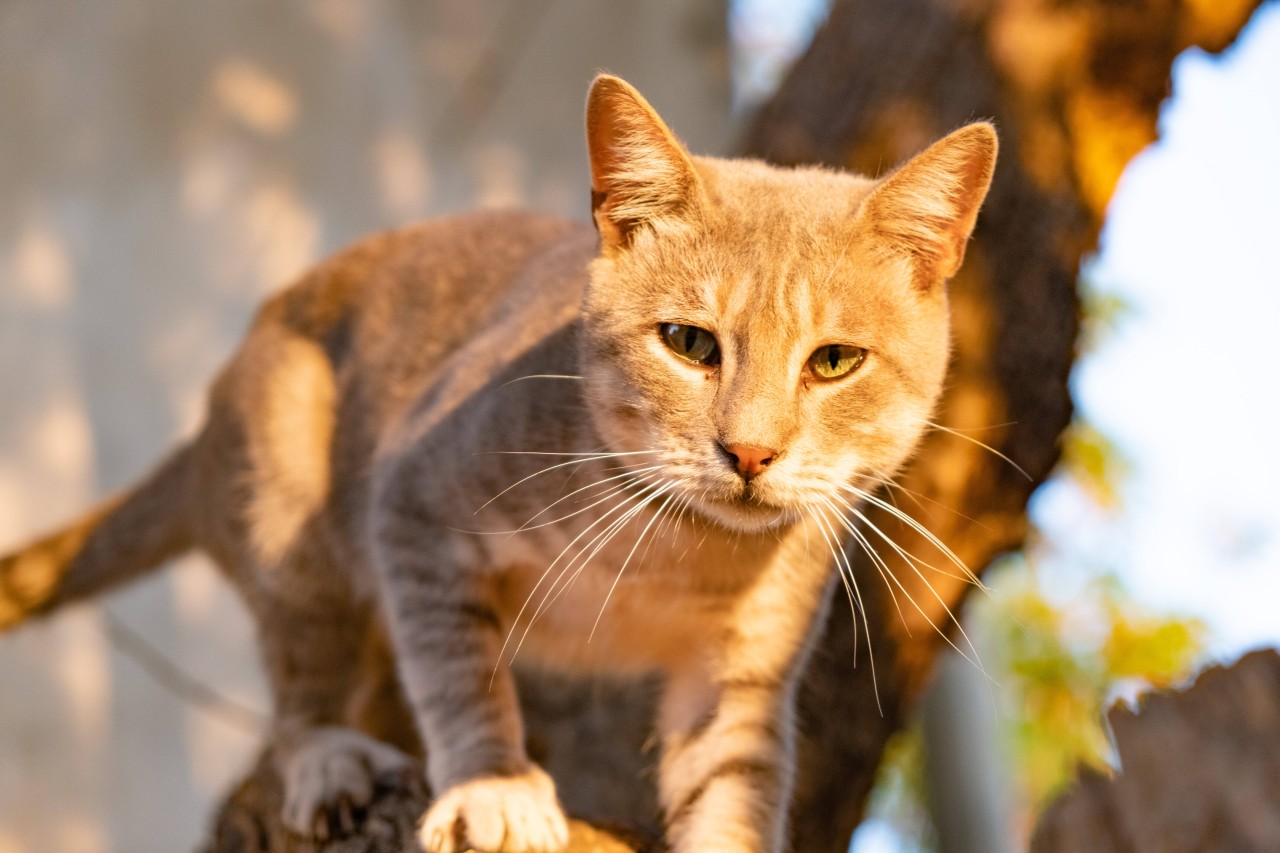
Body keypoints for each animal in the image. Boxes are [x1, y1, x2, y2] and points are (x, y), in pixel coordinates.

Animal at [0, 74, 993, 850]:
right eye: (688, 342)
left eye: (835, 361)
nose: (749, 450)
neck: (678, 547)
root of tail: (205, 426)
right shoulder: (412, 503)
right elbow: (456, 666)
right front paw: (493, 783)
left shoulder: (743, 670)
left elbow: (732, 791)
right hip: (290, 515)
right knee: (297, 697)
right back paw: (329, 754)